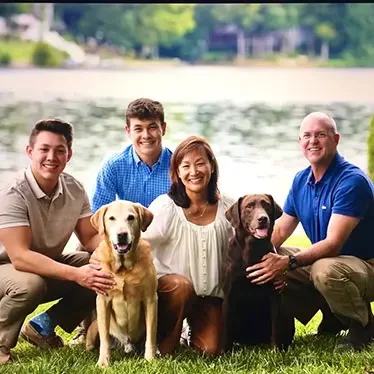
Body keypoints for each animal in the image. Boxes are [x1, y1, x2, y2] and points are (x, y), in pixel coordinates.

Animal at [85, 200, 157, 366]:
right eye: (111, 218)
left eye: (131, 217)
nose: (122, 234)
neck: (124, 268)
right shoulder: (102, 300)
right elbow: (104, 338)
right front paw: (103, 362)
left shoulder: (150, 299)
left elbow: (151, 334)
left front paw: (150, 358)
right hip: (93, 329)